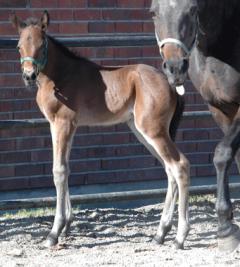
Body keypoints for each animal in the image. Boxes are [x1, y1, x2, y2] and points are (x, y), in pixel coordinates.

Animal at [11, 10, 190, 249]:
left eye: (42, 45)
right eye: (19, 46)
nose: (28, 76)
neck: (60, 75)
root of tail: (171, 82)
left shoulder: (62, 123)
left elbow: (59, 171)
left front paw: (54, 232)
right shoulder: (63, 125)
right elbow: (66, 169)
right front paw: (66, 224)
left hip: (153, 130)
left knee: (180, 166)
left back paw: (179, 237)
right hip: (144, 131)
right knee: (169, 170)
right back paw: (160, 233)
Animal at [151, 0, 240, 253]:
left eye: (192, 9)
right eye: (153, 12)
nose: (174, 67)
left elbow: (222, 154)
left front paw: (225, 229)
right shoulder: (220, 108)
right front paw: (227, 224)